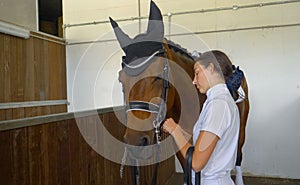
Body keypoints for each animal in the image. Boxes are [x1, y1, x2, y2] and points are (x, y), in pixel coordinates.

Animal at [109, 1, 250, 185]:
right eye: (121, 79)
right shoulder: (181, 146)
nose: (136, 142)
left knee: (238, 156)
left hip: (242, 129)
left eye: (159, 76)